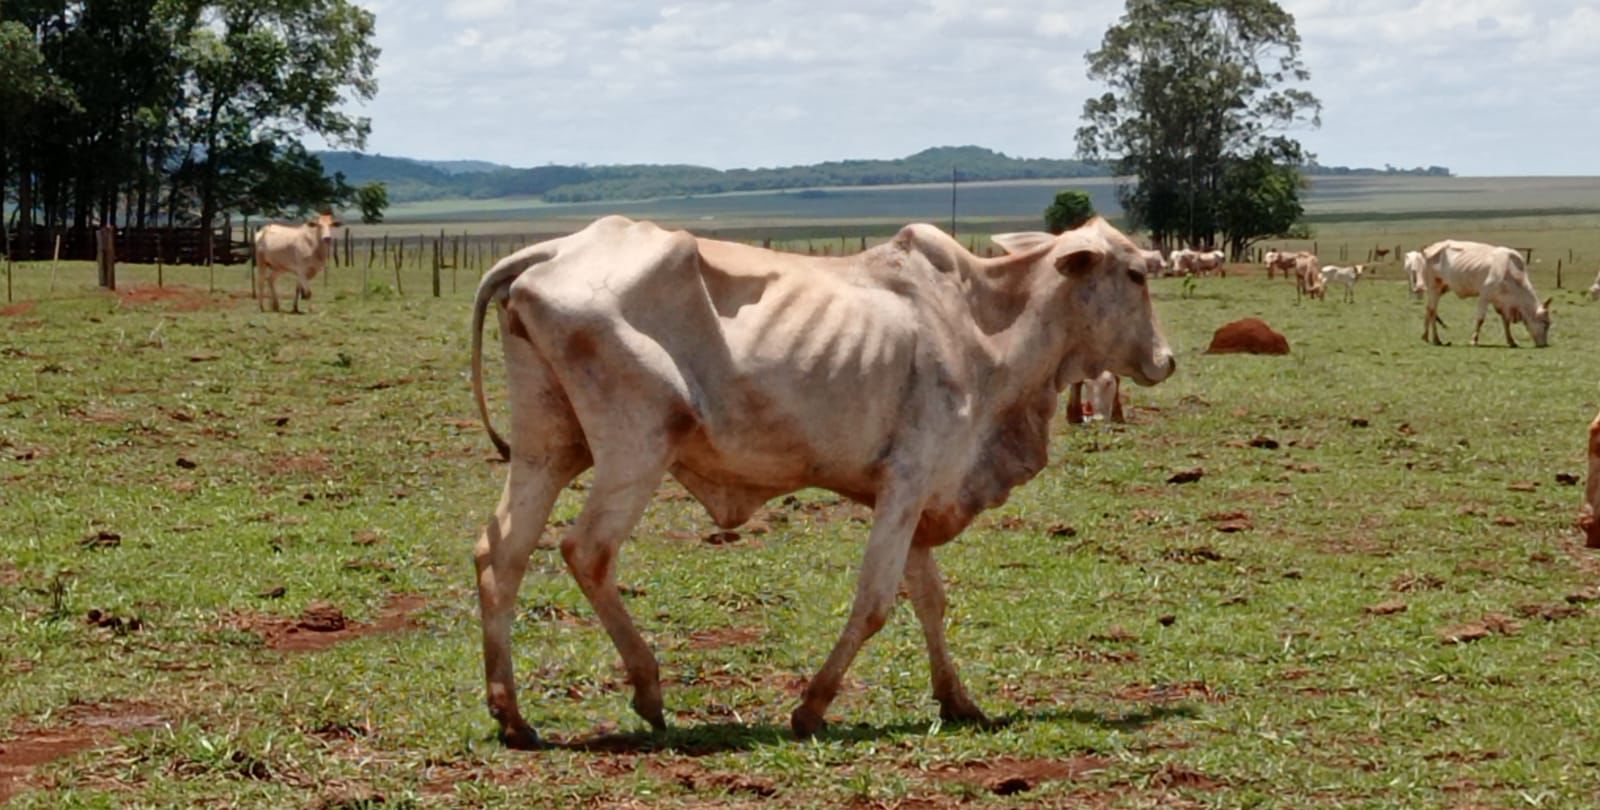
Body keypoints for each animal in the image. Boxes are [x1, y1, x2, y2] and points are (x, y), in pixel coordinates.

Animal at [464, 212, 1177, 745]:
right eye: (1136, 273)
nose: (1166, 360)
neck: (984, 327)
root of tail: (556, 249)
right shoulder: (909, 481)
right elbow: (876, 602)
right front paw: (811, 707)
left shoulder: (915, 497)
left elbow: (930, 600)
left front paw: (958, 700)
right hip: (636, 446)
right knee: (586, 550)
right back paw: (647, 689)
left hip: (549, 447)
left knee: (501, 552)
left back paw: (512, 714)